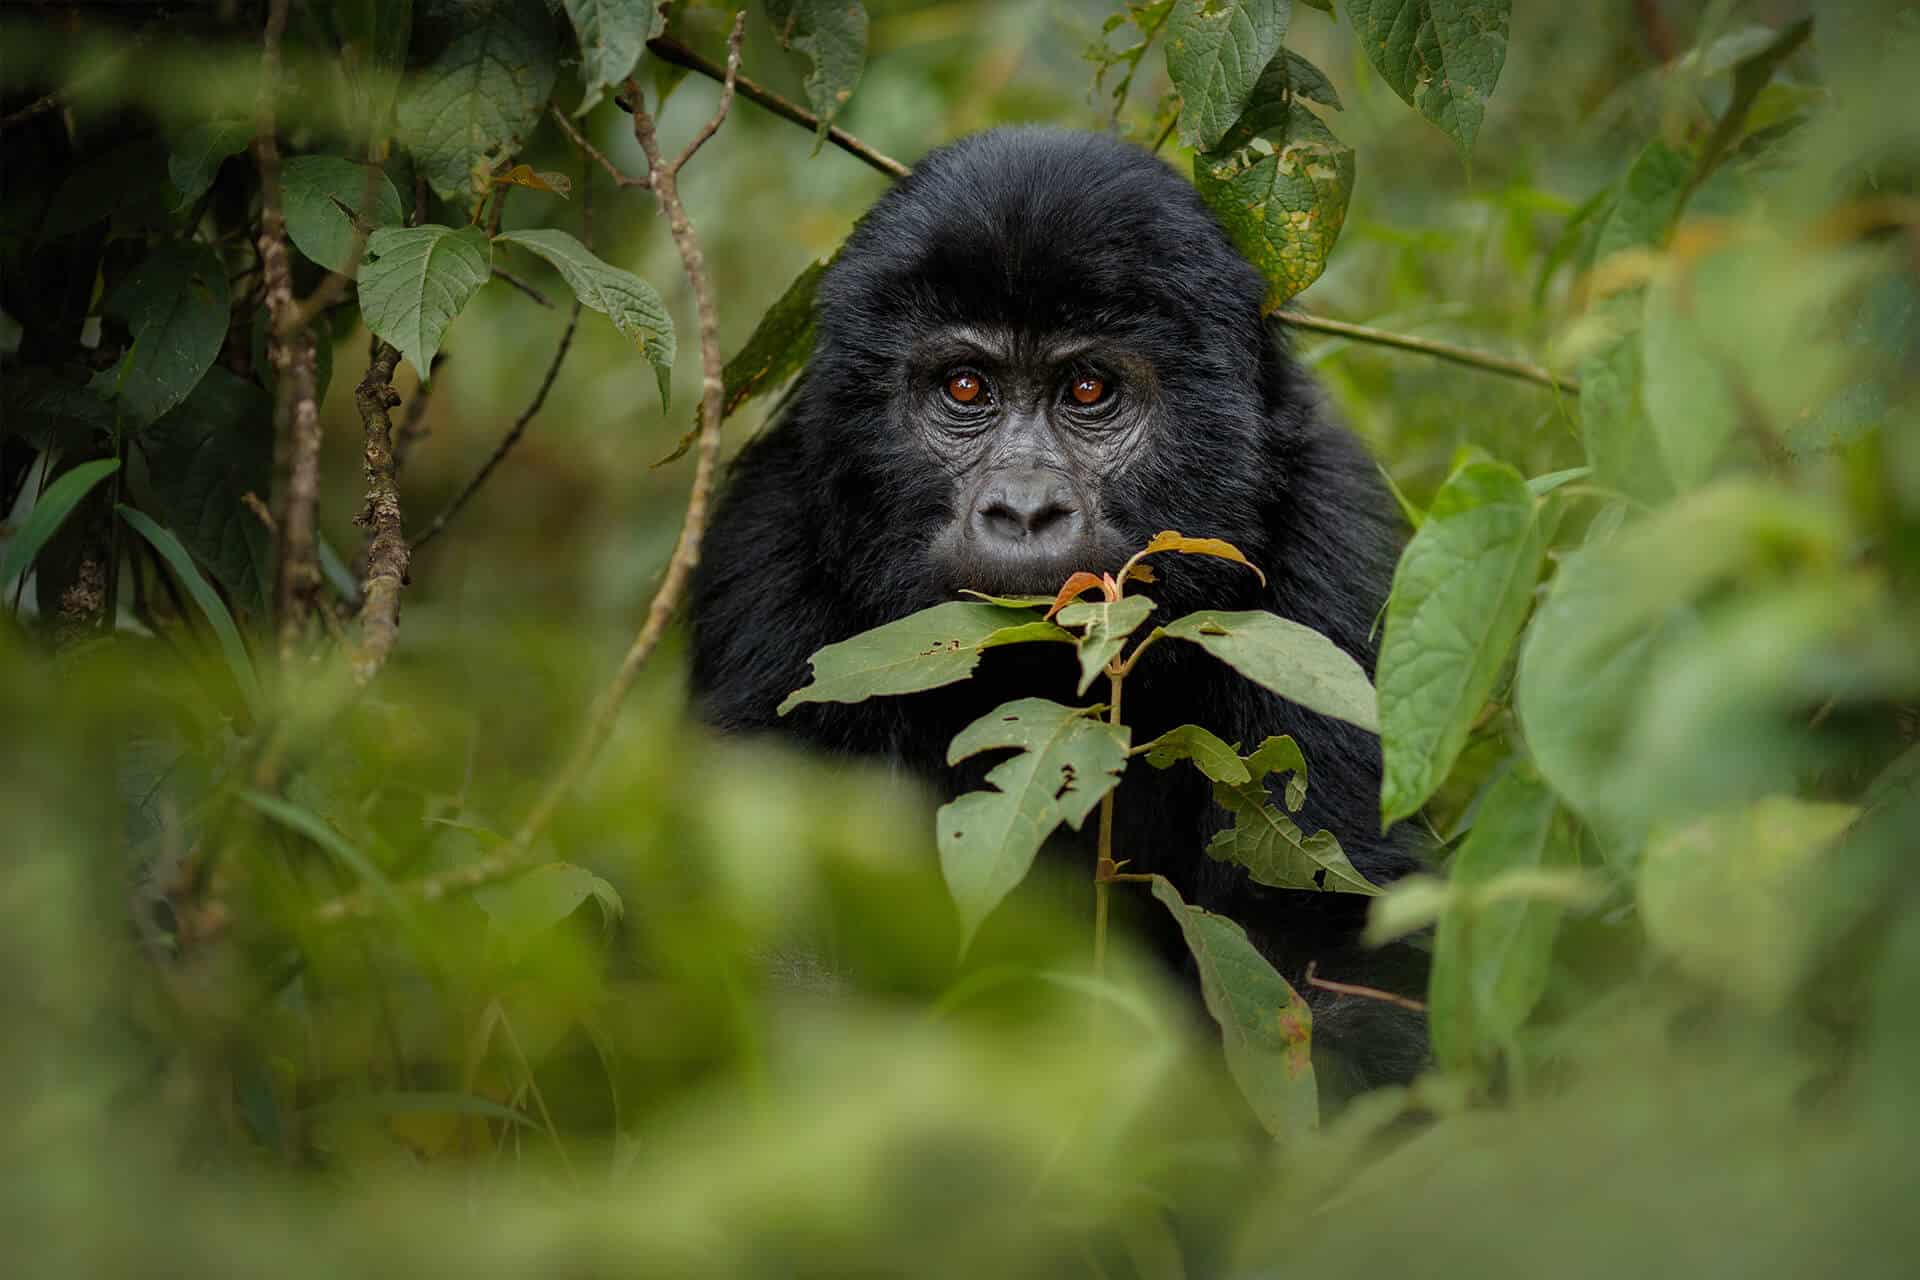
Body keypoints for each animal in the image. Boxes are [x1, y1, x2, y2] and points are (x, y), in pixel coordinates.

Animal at [691, 124, 1428, 1097]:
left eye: (1087, 391)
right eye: (966, 388)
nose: (1025, 510)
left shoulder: (1329, 541)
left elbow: (1336, 965)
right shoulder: (770, 544)